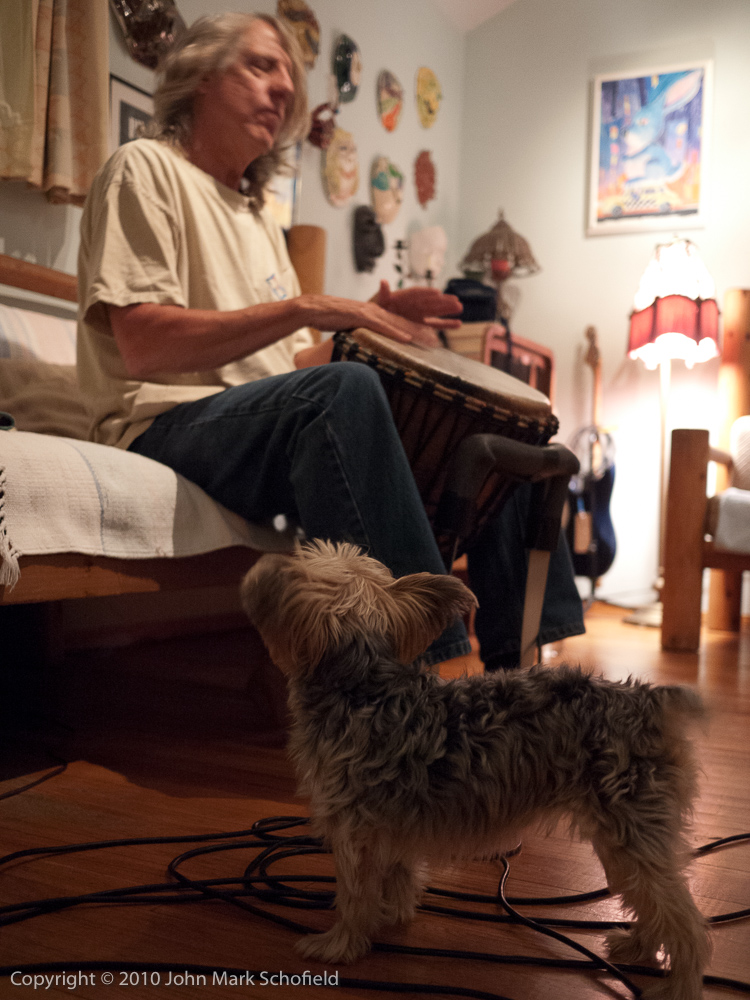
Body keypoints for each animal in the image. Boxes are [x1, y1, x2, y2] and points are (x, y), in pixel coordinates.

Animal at [242, 544, 712, 996]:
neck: (364, 684)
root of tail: (650, 701)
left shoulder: (353, 834)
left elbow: (353, 897)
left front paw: (339, 945)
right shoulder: (388, 829)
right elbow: (398, 876)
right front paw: (393, 915)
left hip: (631, 832)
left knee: (688, 923)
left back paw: (679, 986)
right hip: (620, 842)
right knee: (653, 902)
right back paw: (638, 946)